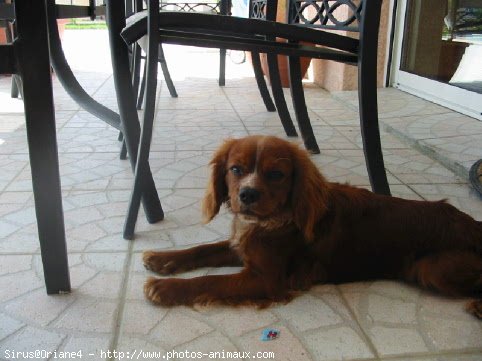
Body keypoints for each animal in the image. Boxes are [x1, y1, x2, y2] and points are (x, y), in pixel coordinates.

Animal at [143, 134, 482, 316]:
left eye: (276, 174)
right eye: (235, 169)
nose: (247, 195)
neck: (274, 221)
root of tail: (475, 225)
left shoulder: (267, 279)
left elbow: (210, 281)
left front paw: (165, 287)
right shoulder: (243, 247)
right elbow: (202, 249)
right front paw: (162, 259)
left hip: (431, 269)